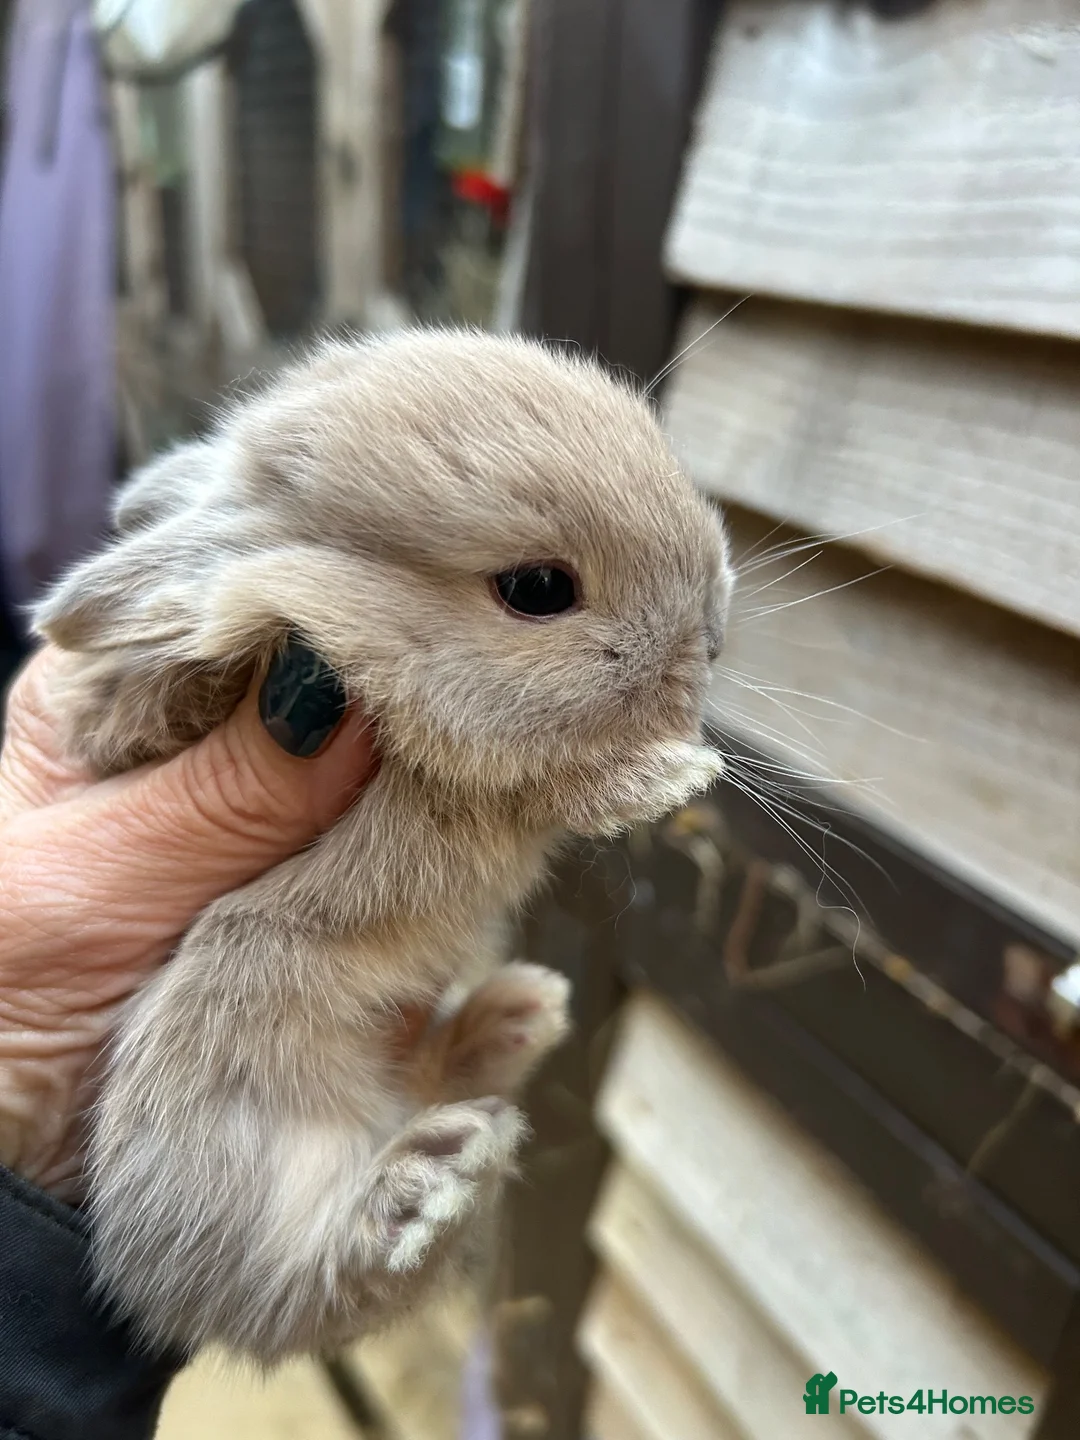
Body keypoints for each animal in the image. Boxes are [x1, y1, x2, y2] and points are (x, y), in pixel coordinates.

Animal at [32, 327, 732, 1364]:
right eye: (538, 590)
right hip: (226, 1090)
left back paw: (517, 1020)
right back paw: (421, 1187)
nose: (712, 638)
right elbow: (548, 785)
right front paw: (673, 776)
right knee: (305, 1280)